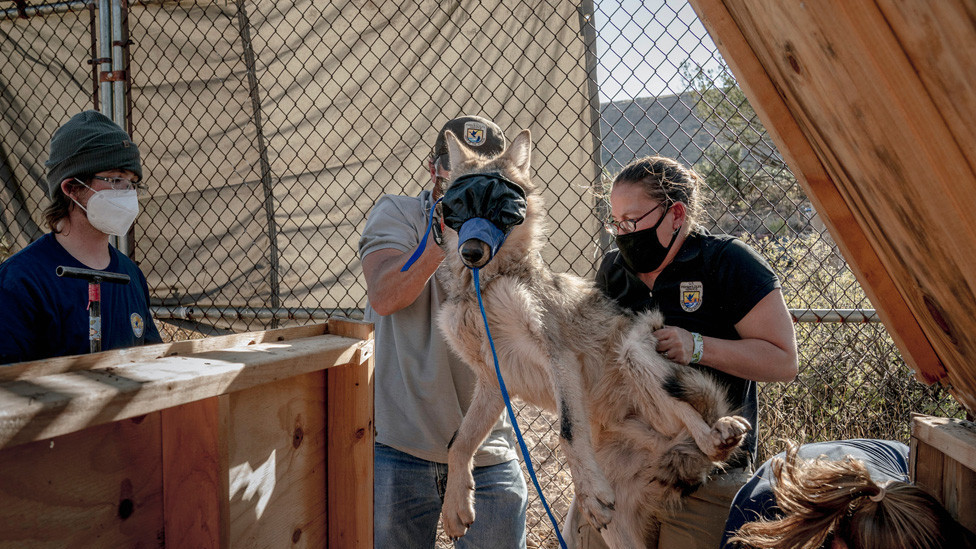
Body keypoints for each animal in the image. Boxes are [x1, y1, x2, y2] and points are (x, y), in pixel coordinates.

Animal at [432, 128, 748, 544]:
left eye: (502, 206)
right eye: (458, 207)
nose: (471, 251)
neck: (484, 290)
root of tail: (670, 454)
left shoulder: (558, 357)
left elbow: (567, 431)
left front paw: (590, 491)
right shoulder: (494, 380)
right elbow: (458, 443)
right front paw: (455, 507)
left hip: (632, 349)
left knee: (694, 419)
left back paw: (720, 433)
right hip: (618, 531)